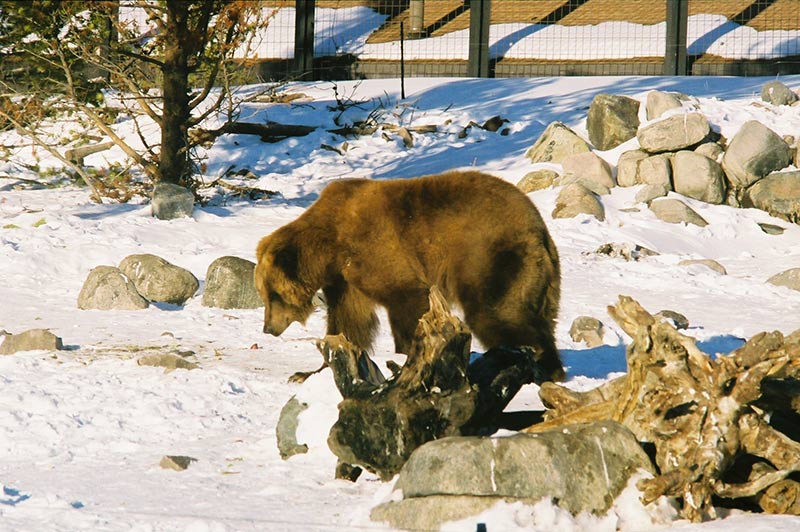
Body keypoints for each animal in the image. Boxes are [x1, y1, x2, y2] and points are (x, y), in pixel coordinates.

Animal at [256, 170, 564, 382]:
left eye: (273, 295)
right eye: (264, 295)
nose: (268, 328)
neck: (331, 246)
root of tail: (540, 227)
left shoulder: (377, 248)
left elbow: (407, 300)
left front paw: (408, 358)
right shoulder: (345, 280)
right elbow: (347, 324)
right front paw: (309, 372)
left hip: (488, 256)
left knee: (496, 312)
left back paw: (539, 365)